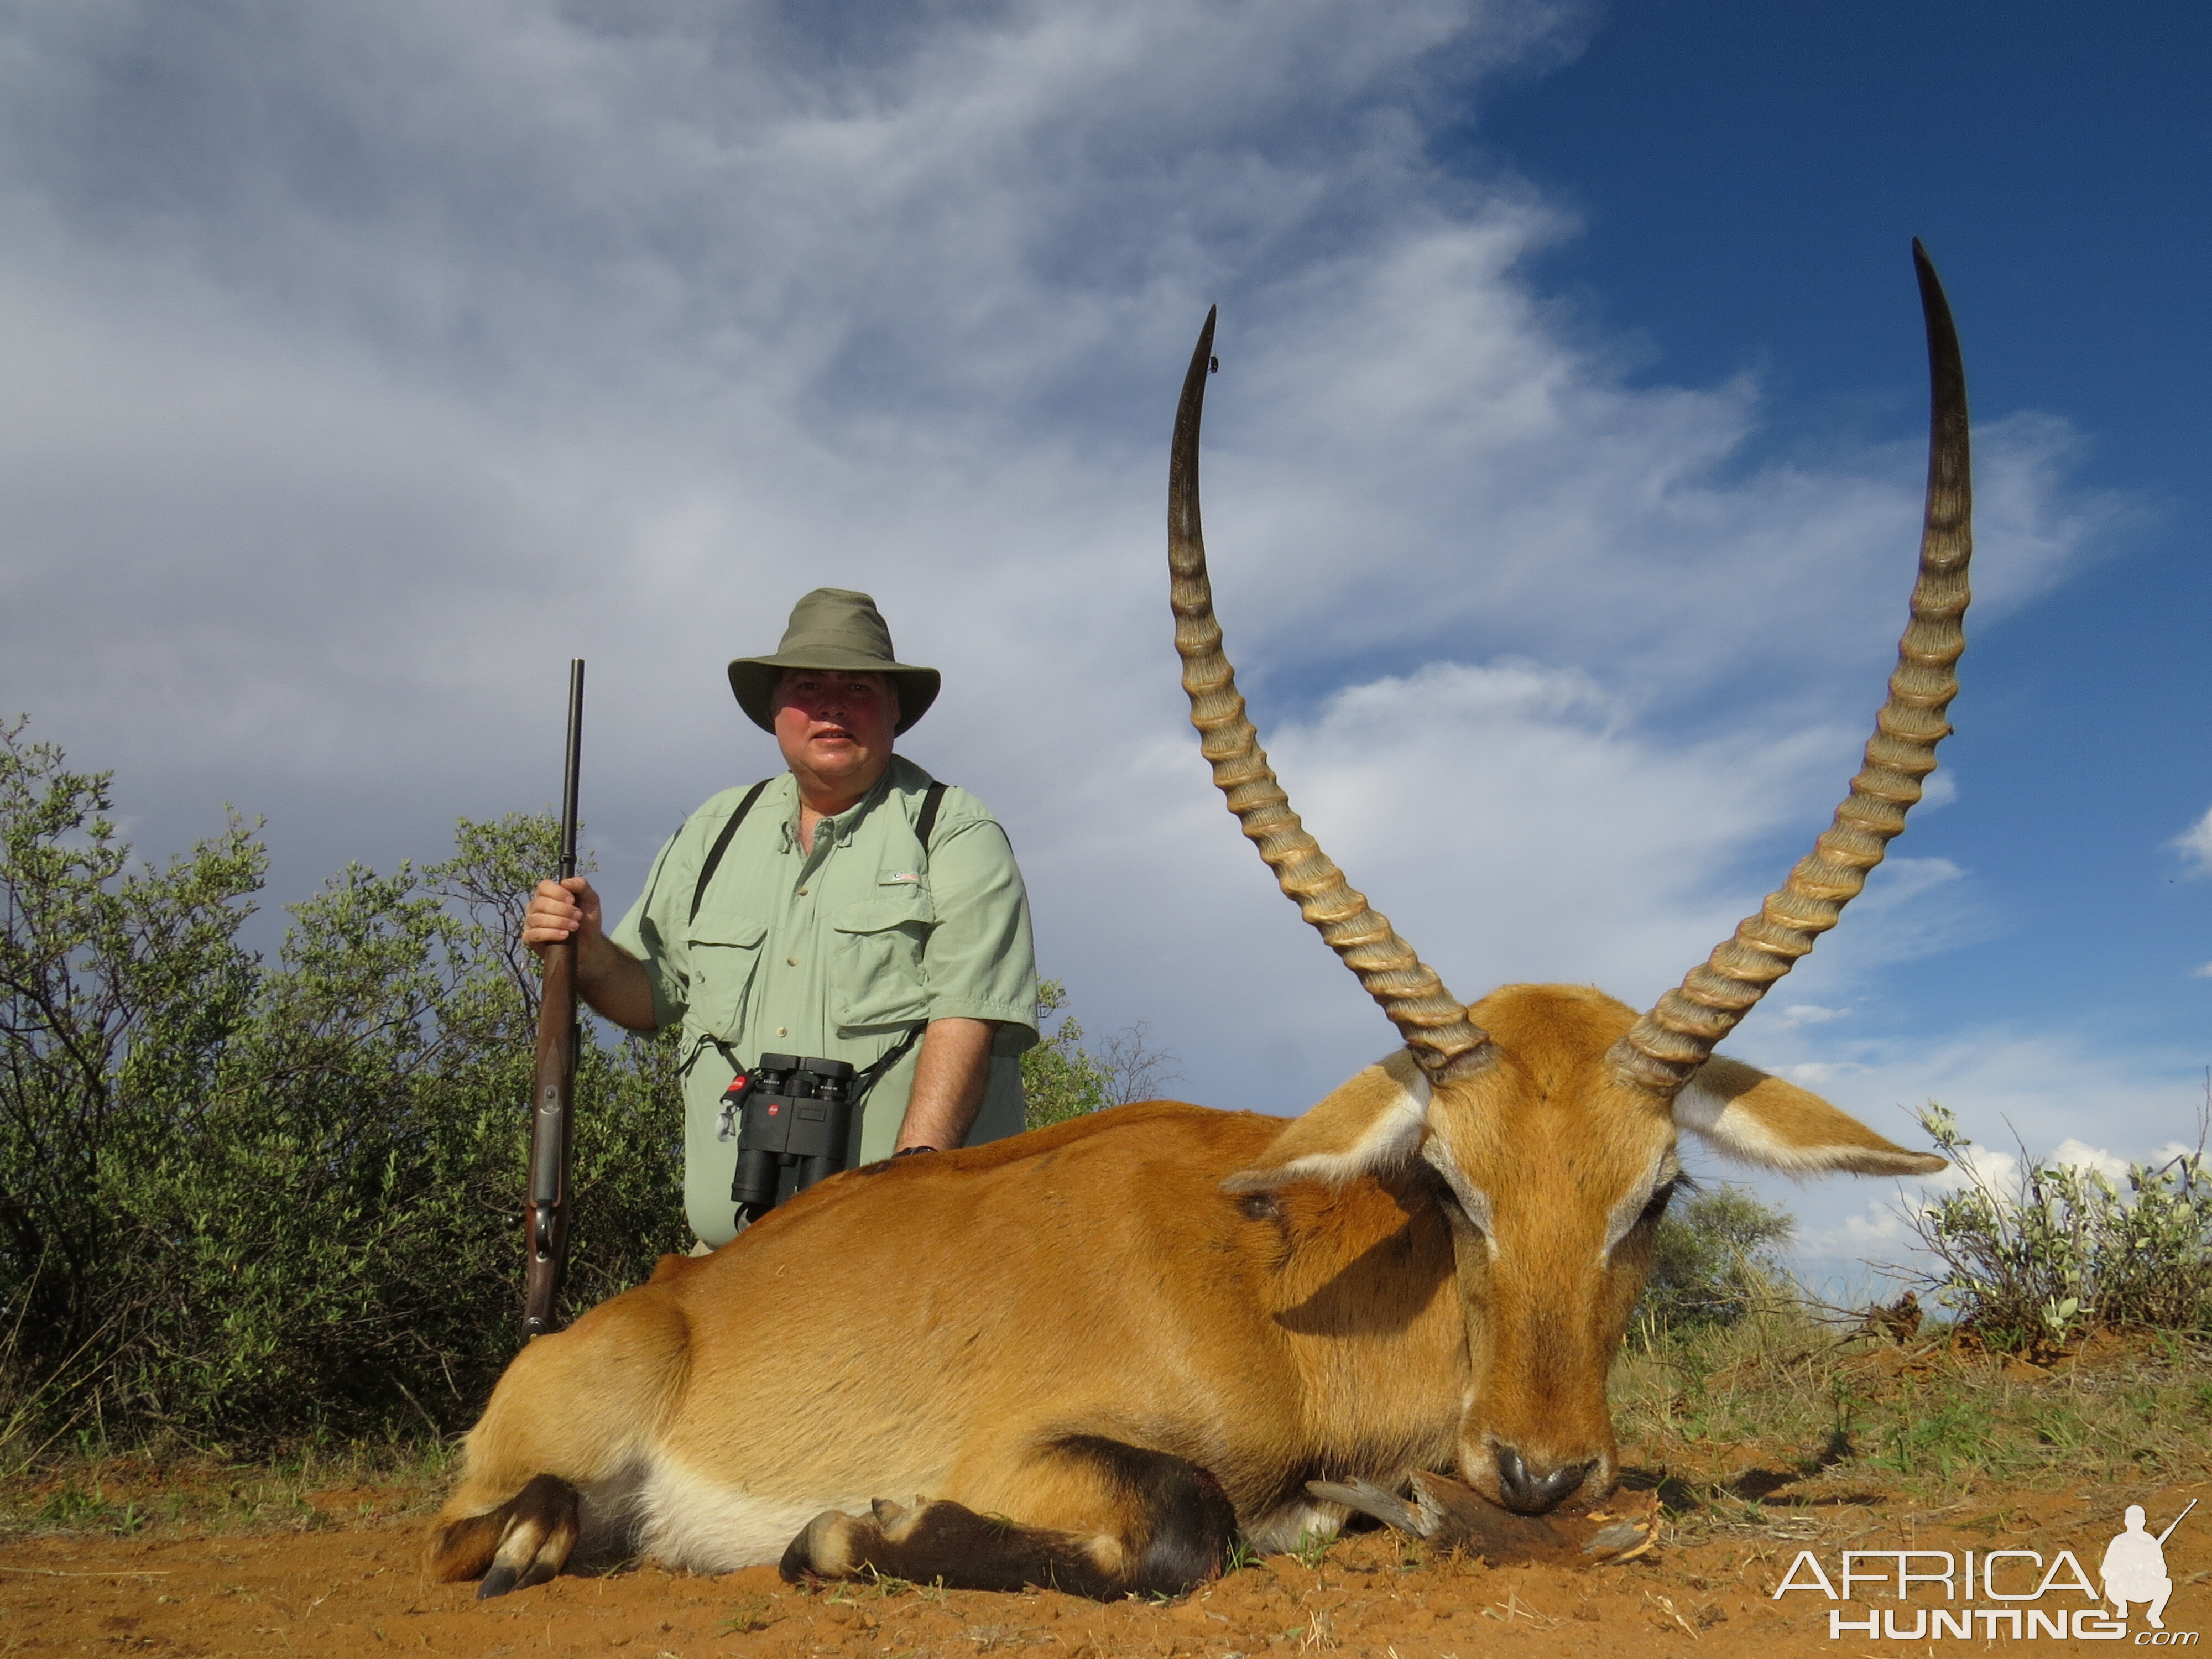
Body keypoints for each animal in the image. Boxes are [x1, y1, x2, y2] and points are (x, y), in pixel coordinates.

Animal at [436, 247, 1973, 1610]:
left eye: (1656, 1193)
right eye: (1448, 1180)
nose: (1538, 1470)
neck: (1290, 1284)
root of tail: (667, 1295)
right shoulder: (1051, 1451)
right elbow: (1184, 1524)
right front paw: (857, 1527)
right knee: (487, 1530)